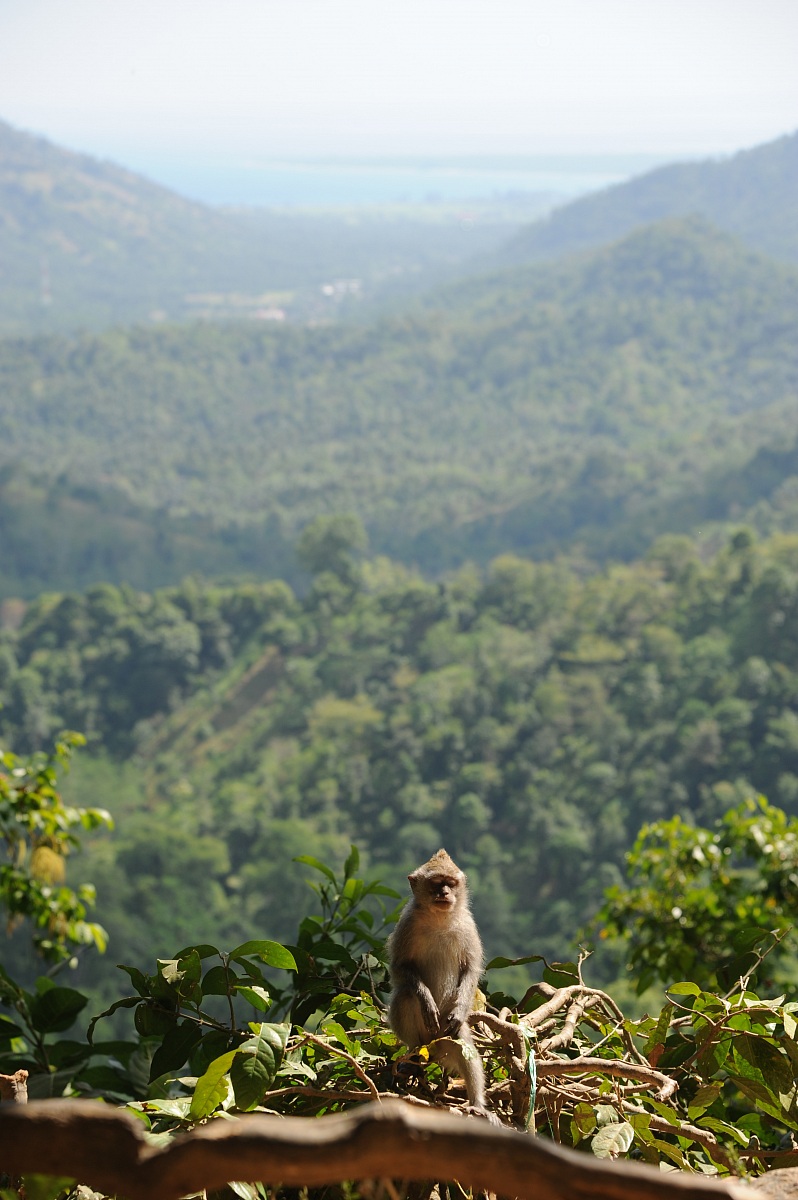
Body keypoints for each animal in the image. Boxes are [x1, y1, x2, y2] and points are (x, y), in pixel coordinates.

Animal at [386, 848, 491, 1118]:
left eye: (450, 883)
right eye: (436, 883)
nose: (444, 893)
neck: (439, 918)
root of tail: (431, 1048)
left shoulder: (467, 924)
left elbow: (470, 969)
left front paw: (459, 1009)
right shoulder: (407, 923)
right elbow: (400, 968)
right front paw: (426, 1000)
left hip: (445, 1039)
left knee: (462, 1044)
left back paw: (477, 1104)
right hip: (424, 1038)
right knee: (405, 995)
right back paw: (413, 1060)